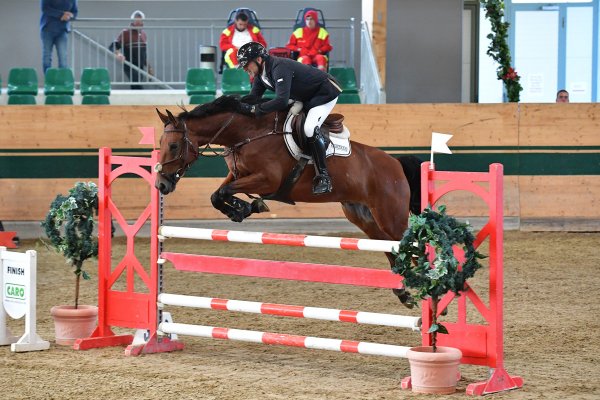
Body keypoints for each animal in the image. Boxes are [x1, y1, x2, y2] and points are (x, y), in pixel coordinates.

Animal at [155, 96, 422, 306]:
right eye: (161, 144)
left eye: (174, 145)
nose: (161, 185)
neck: (248, 134)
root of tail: (396, 163)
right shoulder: (238, 175)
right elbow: (217, 194)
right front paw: (243, 209)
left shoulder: (267, 181)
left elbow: (224, 193)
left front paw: (246, 207)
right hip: (364, 217)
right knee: (391, 248)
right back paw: (404, 293)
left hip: (390, 216)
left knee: (411, 244)